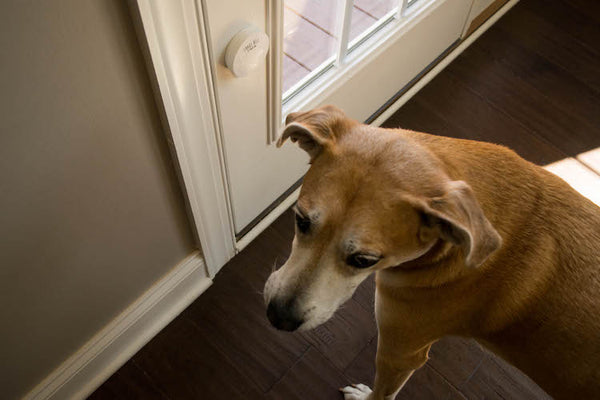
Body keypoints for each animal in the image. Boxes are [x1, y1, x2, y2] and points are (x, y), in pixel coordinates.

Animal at [264, 104, 600, 398]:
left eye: (363, 260)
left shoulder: (400, 352)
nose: (278, 317)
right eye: (300, 220)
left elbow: (382, 394)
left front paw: (365, 395)